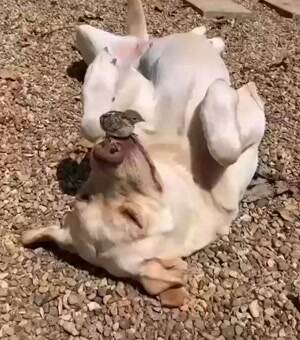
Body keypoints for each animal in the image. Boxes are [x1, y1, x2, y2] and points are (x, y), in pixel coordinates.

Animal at [22, 0, 264, 306]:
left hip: (97, 35)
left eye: (132, 217)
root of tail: (146, 42)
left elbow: (220, 137)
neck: (178, 161)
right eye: (85, 196)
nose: (107, 152)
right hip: (85, 34)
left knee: (197, 40)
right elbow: (92, 124)